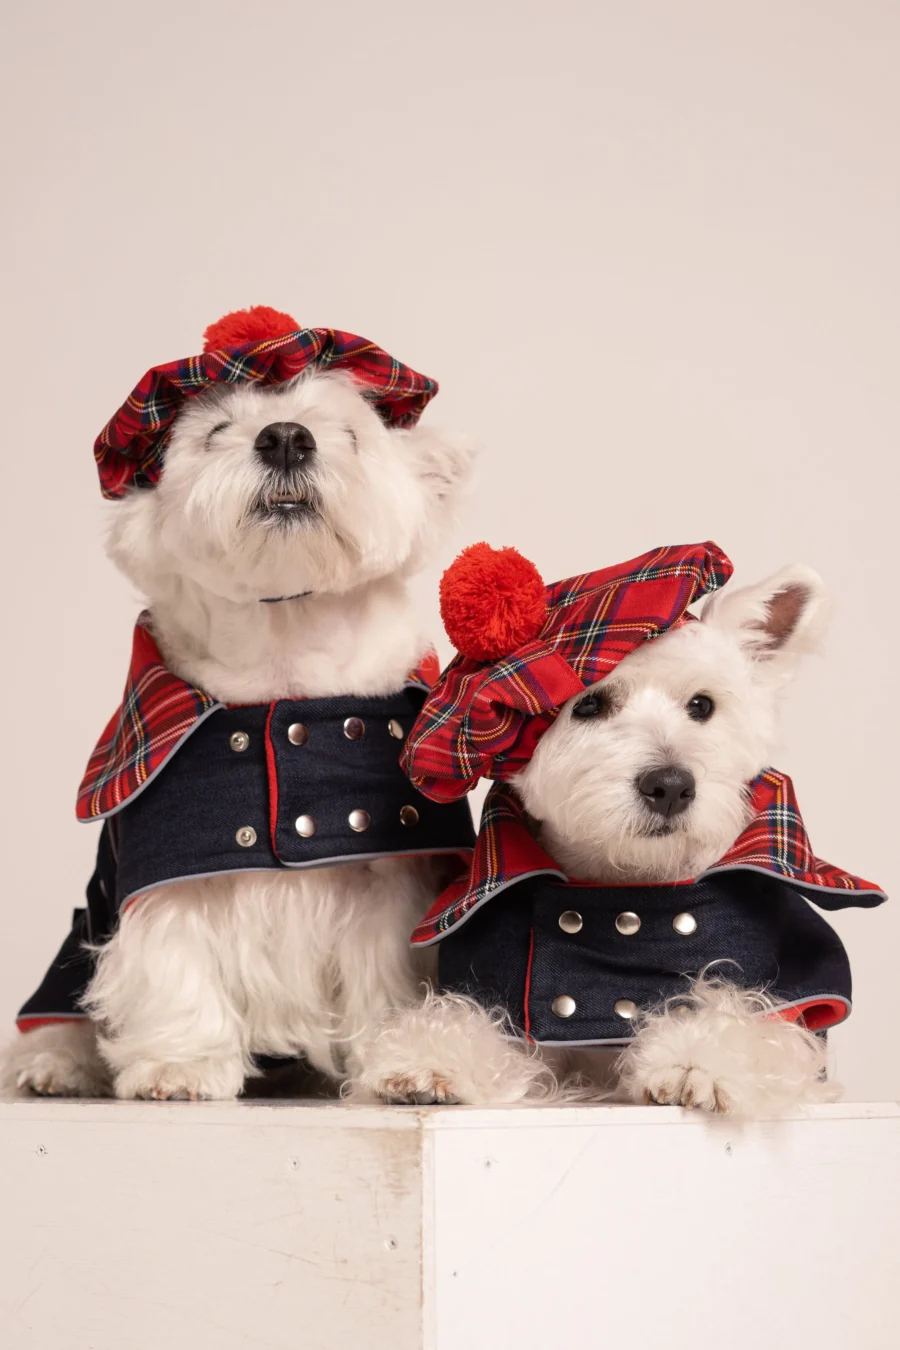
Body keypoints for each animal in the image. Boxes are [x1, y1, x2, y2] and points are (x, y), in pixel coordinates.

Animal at [1, 332, 477, 1101]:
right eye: (215, 431)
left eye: (349, 432)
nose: (285, 438)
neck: (282, 664)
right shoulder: (167, 869)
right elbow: (174, 963)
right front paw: (179, 1066)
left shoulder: (388, 878)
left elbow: (383, 972)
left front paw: (389, 1055)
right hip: (76, 937)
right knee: (61, 1003)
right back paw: (55, 1064)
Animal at [361, 558, 885, 1117]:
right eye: (589, 705)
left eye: (702, 705)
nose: (671, 786)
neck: (624, 888)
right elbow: (479, 1019)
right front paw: (432, 1057)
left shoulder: (792, 1001)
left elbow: (748, 1019)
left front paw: (695, 1061)